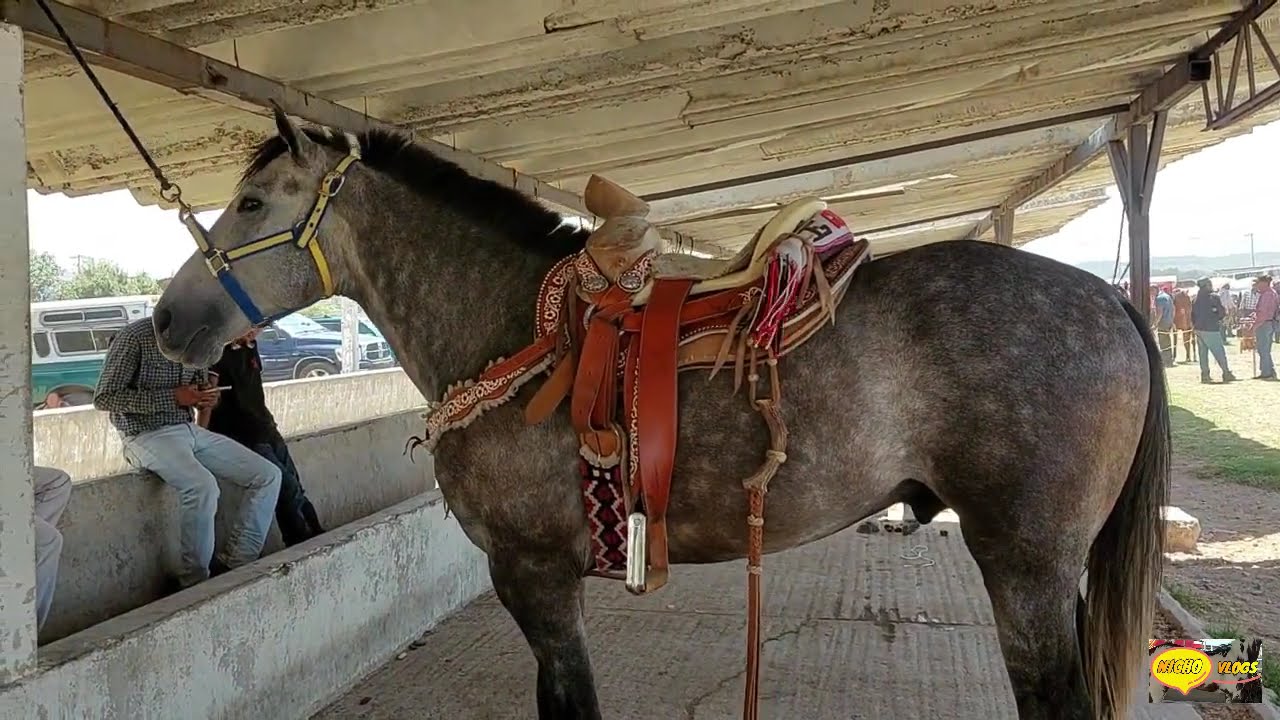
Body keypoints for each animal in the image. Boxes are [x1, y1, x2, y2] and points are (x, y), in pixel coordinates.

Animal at [150, 108, 1170, 720]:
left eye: (251, 202)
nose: (165, 321)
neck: (514, 328)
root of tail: (1108, 299)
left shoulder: (533, 575)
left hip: (1028, 566)